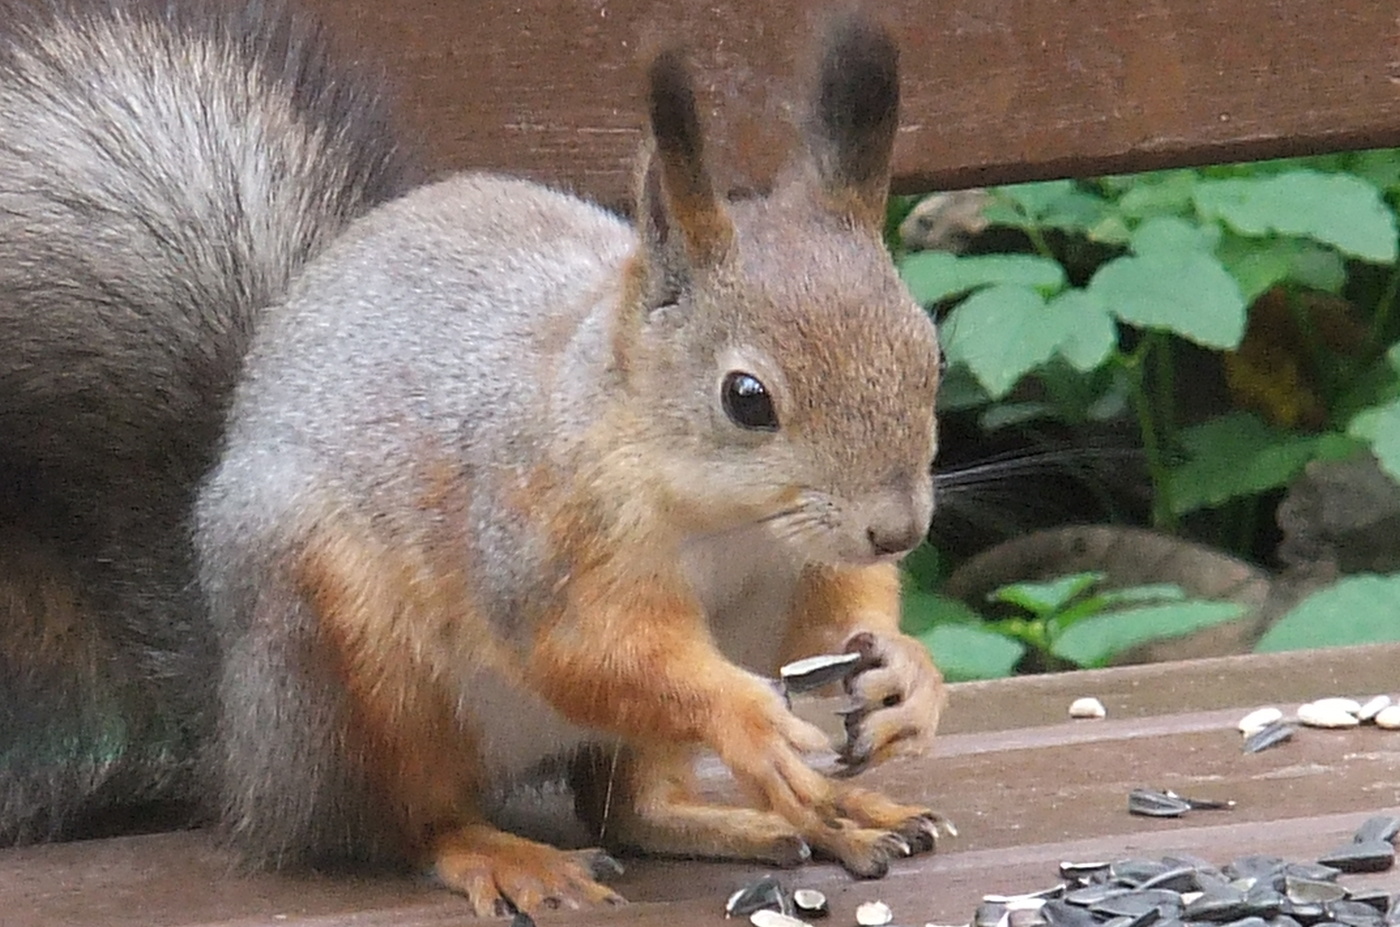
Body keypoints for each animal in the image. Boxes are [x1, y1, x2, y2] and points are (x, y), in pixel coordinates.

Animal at [0, 0, 952, 918]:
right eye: (747, 397)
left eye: (930, 352)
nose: (898, 530)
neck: (727, 522)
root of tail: (244, 746)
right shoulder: (540, 533)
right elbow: (594, 652)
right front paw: (747, 719)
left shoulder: (798, 570)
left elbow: (827, 624)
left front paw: (907, 675)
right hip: (357, 664)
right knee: (403, 821)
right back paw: (502, 854)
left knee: (630, 808)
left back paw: (817, 816)